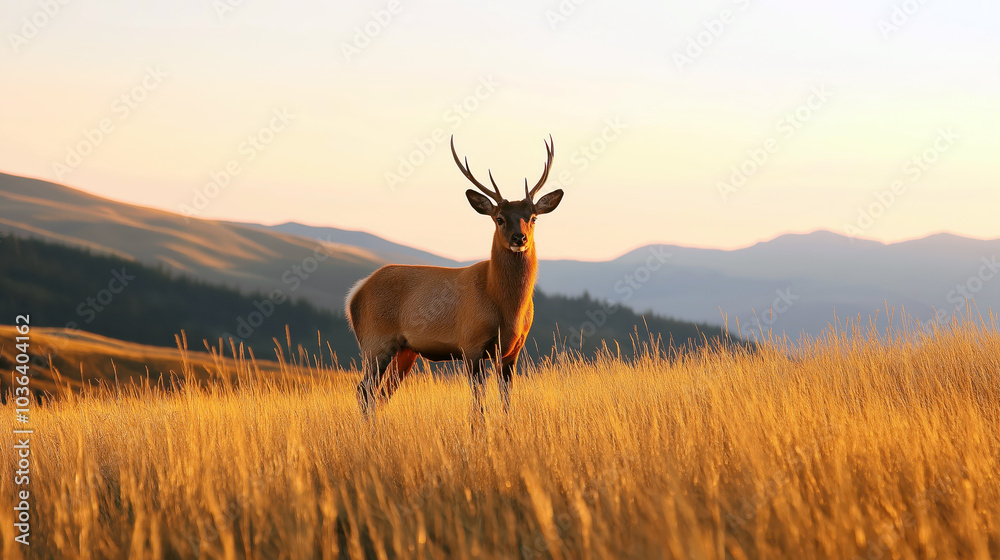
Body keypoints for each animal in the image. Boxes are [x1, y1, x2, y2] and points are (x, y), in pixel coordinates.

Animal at [345, 135, 563, 418]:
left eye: (533, 217)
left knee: (380, 394)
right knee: (364, 390)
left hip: (405, 350)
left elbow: (506, 401)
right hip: (374, 341)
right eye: (499, 218)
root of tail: (356, 292)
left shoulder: (512, 350)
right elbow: (478, 404)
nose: (520, 238)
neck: (506, 309)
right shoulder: (470, 342)